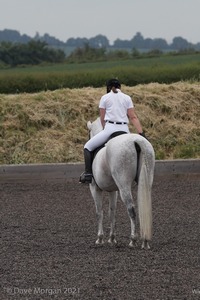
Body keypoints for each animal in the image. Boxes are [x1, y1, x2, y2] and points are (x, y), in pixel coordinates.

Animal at [87, 117, 155, 248]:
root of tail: (136, 141)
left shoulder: (95, 188)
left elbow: (99, 212)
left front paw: (100, 238)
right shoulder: (113, 191)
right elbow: (112, 212)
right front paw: (112, 238)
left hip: (124, 185)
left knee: (131, 209)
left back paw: (133, 240)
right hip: (146, 179)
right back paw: (145, 241)